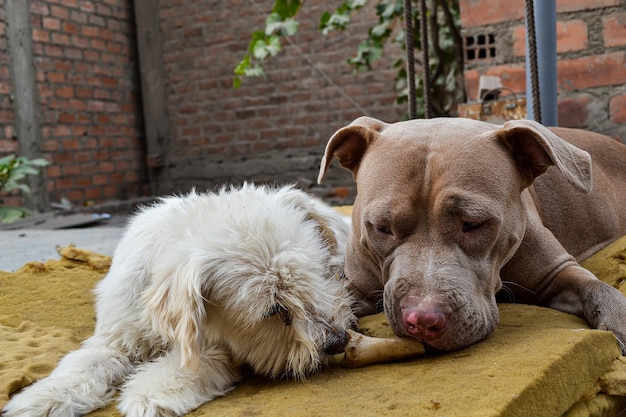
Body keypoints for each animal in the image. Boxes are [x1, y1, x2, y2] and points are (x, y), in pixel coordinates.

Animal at [3, 184, 356, 416]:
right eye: (275, 308)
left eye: (319, 278)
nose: (340, 340)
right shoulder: (115, 338)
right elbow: (83, 365)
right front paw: (43, 398)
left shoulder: (217, 349)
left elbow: (185, 366)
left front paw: (150, 393)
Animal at [320, 115, 624, 352]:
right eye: (382, 227)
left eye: (473, 224)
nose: (422, 320)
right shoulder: (356, 284)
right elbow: (337, 293)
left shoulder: (558, 271)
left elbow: (597, 288)